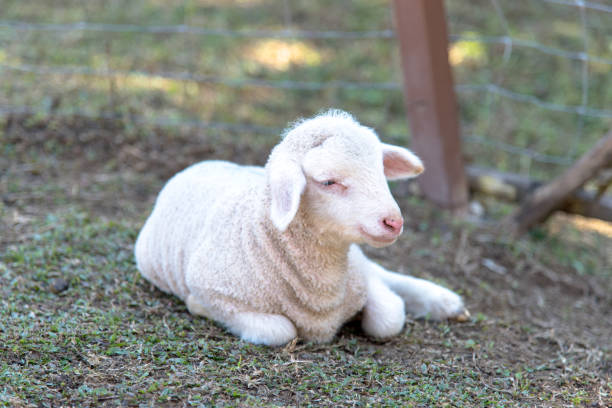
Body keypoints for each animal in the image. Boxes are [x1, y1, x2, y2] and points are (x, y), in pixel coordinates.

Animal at [134, 110, 468, 346]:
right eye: (328, 182)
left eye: (381, 171)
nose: (393, 222)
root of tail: (201, 164)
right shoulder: (213, 290)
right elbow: (281, 330)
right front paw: (196, 307)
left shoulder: (359, 277)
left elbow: (388, 318)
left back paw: (445, 302)